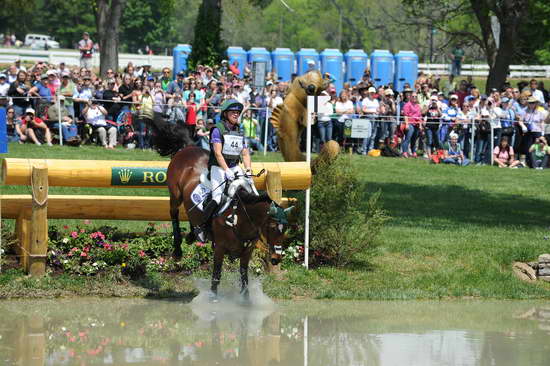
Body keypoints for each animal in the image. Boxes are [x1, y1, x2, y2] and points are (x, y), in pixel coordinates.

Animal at [147, 117, 294, 300]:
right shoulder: (220, 248)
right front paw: (213, 300)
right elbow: (216, 276)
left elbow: (244, 278)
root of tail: (187, 147)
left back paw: (194, 234)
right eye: (273, 227)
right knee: (174, 213)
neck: (241, 215)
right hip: (175, 194)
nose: (276, 259)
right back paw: (178, 250)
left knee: (193, 214)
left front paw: (246, 302)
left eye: (285, 228)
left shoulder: (247, 252)